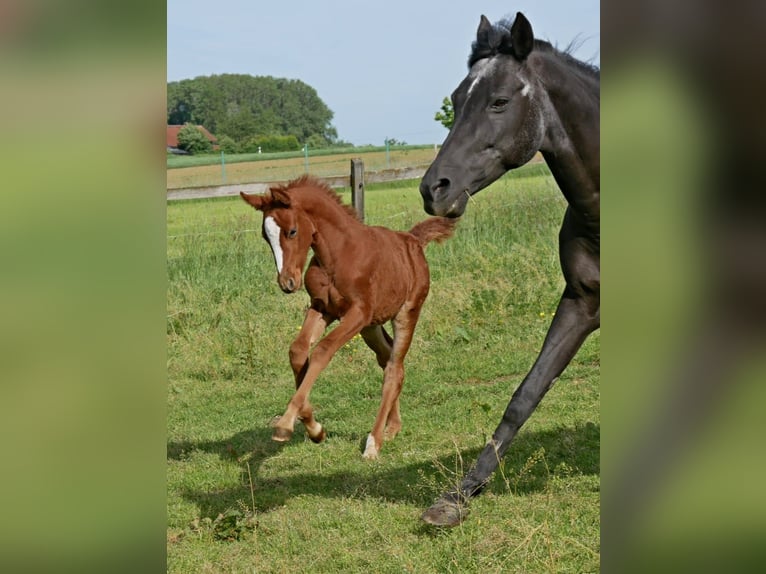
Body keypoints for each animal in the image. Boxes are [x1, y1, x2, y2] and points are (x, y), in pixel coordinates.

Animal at [242, 176, 456, 460]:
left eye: (292, 232)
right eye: (266, 237)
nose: (287, 283)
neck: (338, 255)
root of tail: (413, 239)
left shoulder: (358, 312)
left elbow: (322, 351)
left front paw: (285, 425)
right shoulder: (323, 307)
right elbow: (298, 351)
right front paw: (315, 429)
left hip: (405, 313)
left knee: (394, 369)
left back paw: (374, 442)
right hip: (371, 327)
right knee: (386, 359)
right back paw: (392, 427)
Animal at [420, 13, 600, 528]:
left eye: (499, 101)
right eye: (457, 99)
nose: (434, 188)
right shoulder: (583, 302)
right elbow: (525, 395)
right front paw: (458, 496)